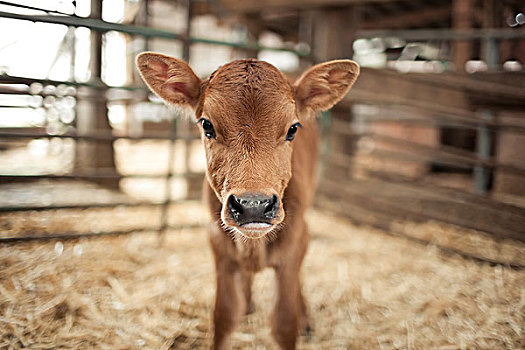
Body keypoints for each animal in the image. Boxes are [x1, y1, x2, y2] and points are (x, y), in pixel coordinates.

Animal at [135, 52, 358, 350]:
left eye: (293, 128)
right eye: (207, 125)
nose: (254, 205)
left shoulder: (296, 241)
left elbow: (285, 322)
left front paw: (298, 319)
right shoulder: (218, 246)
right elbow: (224, 316)